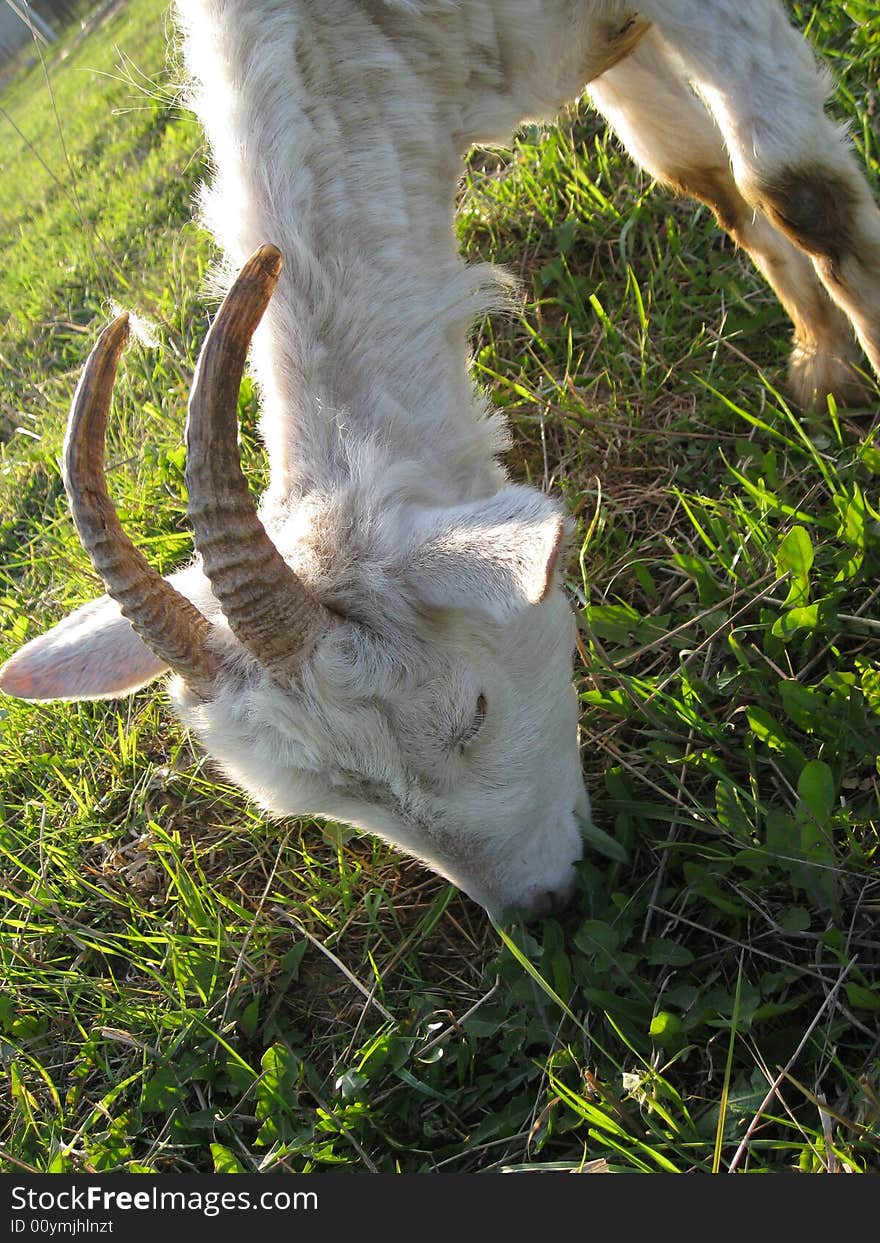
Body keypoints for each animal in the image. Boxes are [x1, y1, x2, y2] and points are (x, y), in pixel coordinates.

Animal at [1, 0, 879, 914]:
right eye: (336, 805)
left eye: (474, 712)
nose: (541, 908)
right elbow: (699, 173)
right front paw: (824, 353)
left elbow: (796, 188)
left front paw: (853, 362)